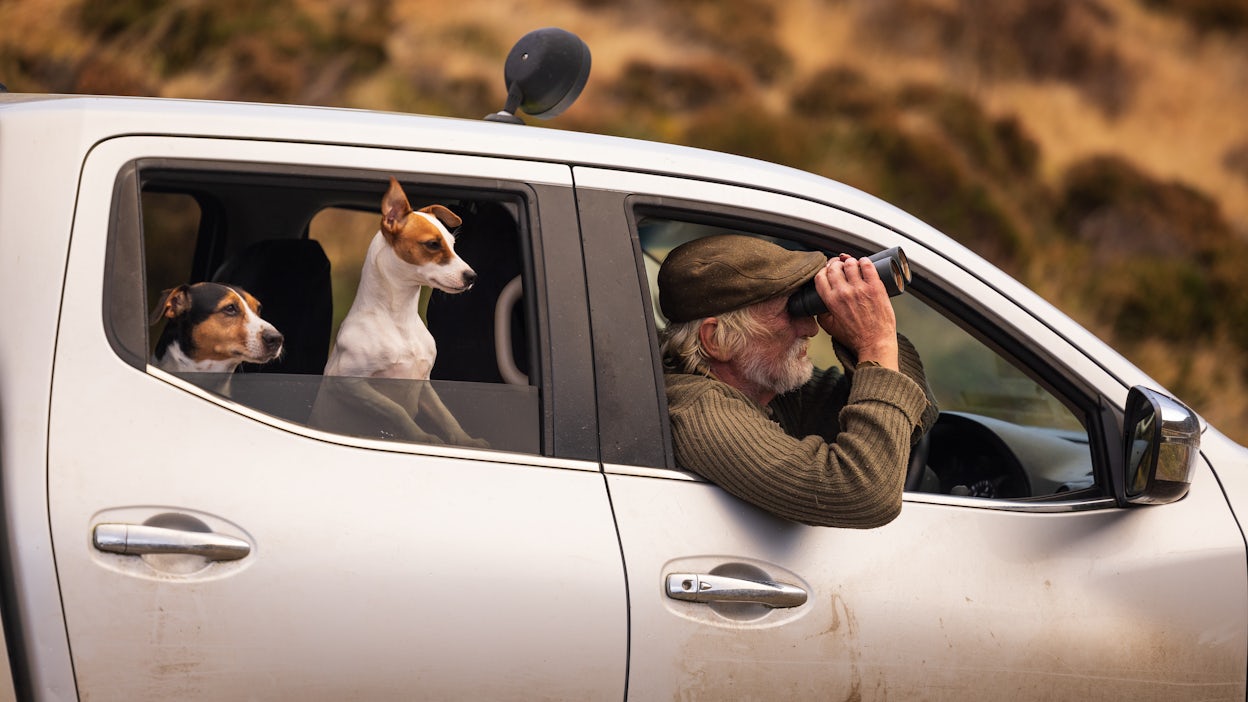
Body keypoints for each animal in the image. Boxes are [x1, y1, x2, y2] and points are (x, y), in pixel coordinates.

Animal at [312, 177, 486, 444]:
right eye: (433, 244)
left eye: (453, 245)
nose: (472, 277)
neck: (399, 319)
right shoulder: (350, 383)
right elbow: (396, 410)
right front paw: (421, 437)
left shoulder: (424, 382)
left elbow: (445, 416)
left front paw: (464, 441)